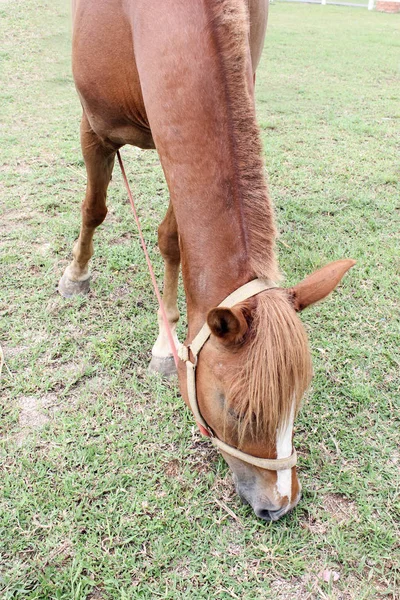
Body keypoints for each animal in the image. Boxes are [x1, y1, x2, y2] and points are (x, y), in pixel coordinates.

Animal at [57, 0, 354, 520]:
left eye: (297, 402)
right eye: (236, 410)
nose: (281, 504)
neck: (146, 20)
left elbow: (173, 239)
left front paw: (165, 341)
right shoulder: (94, 128)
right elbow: (94, 208)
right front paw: (77, 275)